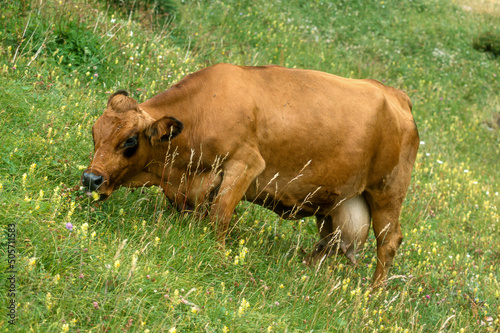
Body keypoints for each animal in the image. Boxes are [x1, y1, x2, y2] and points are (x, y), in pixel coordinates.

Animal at [82, 63, 418, 286]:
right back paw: (305, 274)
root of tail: (396, 95)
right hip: (338, 203)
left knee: (389, 242)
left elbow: (220, 215)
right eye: (94, 132)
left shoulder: (245, 164)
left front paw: (215, 255)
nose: (90, 179)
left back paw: (372, 296)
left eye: (130, 141)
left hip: (387, 193)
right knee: (332, 242)